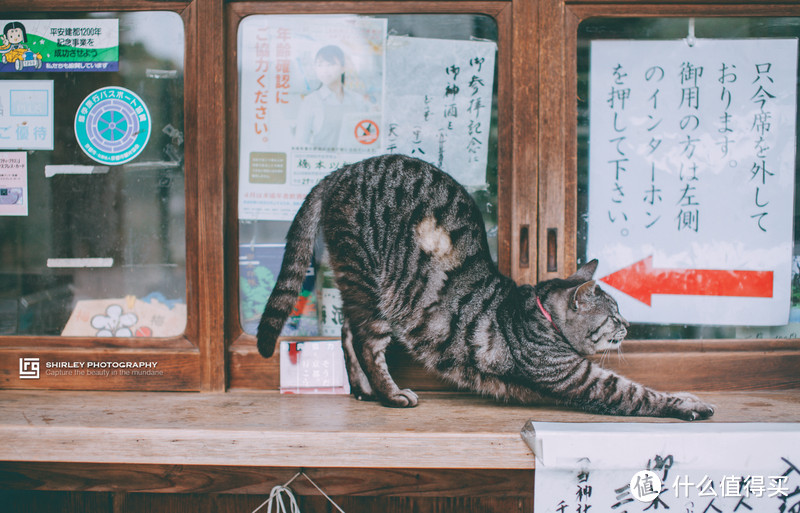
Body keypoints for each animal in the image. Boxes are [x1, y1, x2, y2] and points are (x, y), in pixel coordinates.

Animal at [256, 154, 712, 418]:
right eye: (614, 315)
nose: (629, 326)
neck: (538, 316)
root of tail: (342, 170)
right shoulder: (581, 379)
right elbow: (642, 394)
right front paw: (689, 403)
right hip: (372, 285)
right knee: (367, 343)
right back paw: (391, 395)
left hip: (358, 288)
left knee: (348, 333)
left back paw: (364, 390)